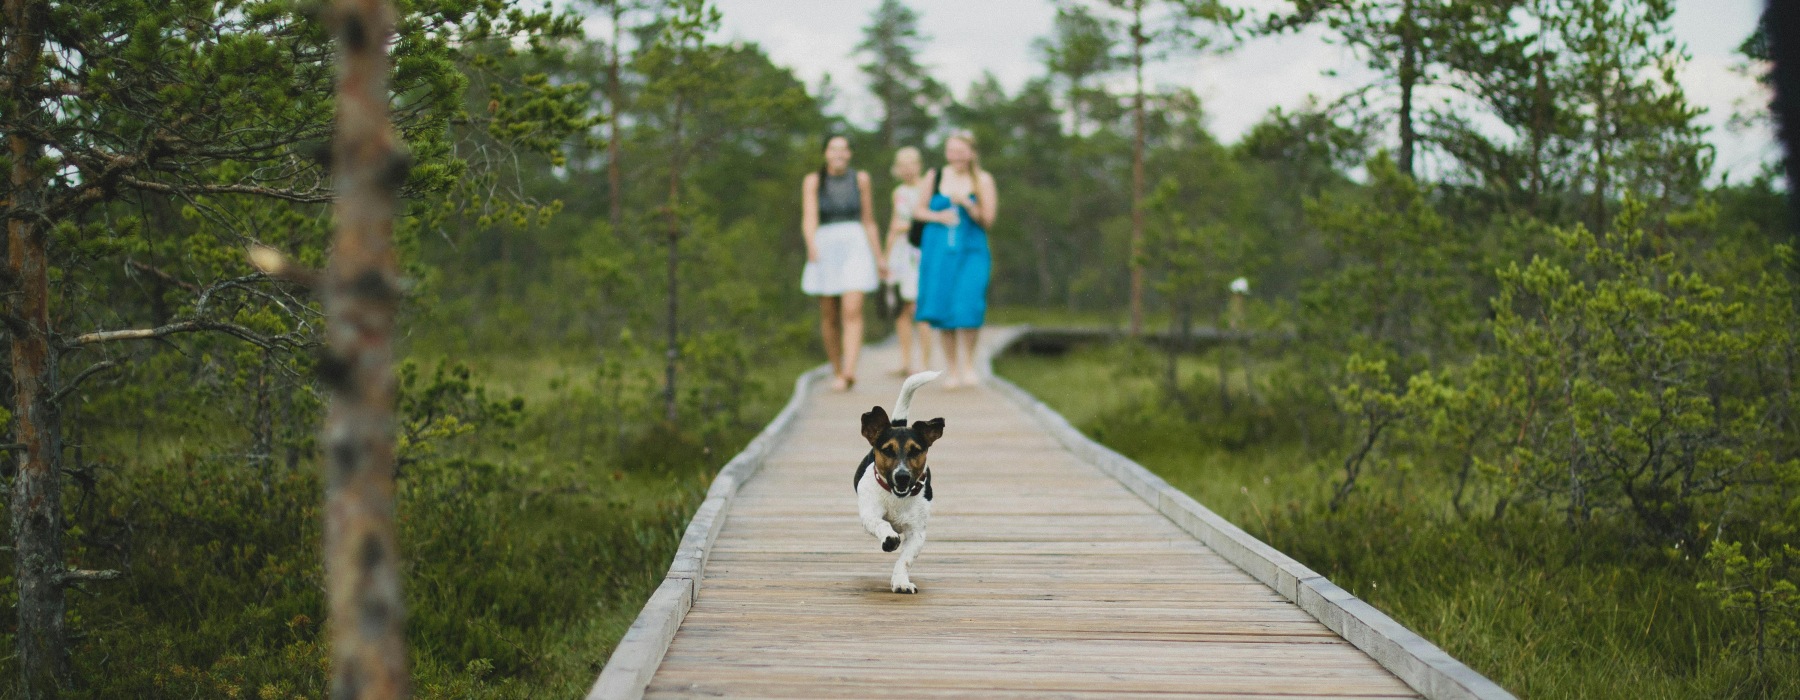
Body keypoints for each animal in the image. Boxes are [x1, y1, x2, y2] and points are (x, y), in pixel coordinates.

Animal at [853, 368, 950, 590]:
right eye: (888, 450)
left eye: (915, 451)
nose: (903, 476)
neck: (897, 497)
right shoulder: (870, 514)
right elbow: (881, 524)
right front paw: (889, 538)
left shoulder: (917, 533)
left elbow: (905, 559)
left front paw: (900, 581)